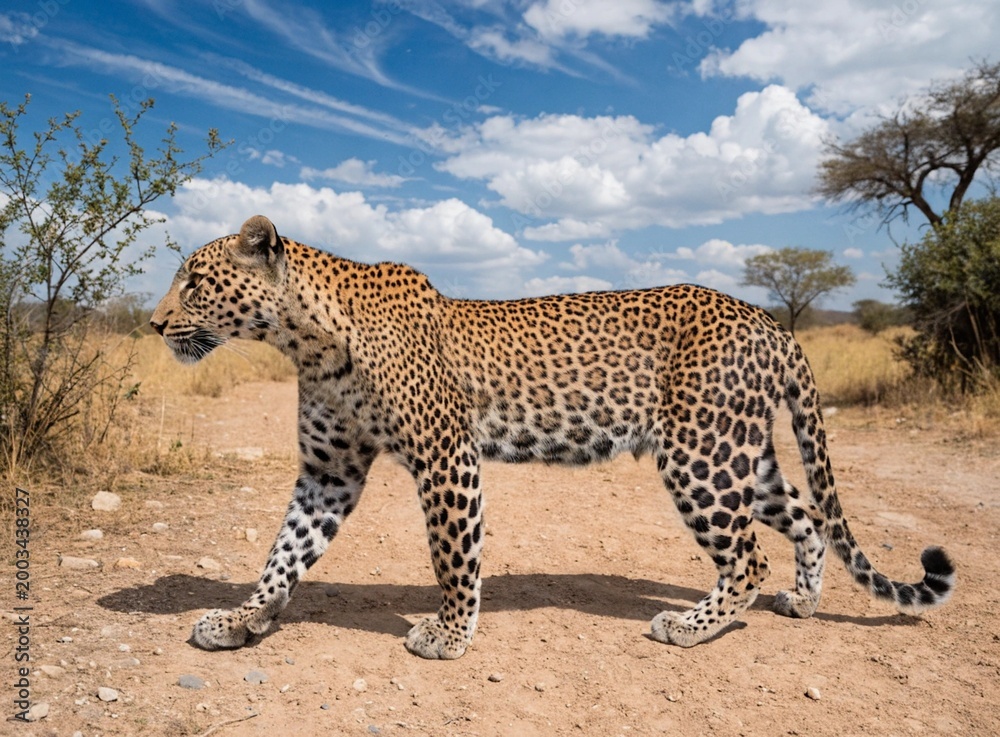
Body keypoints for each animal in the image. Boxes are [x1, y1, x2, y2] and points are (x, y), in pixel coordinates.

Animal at [150, 214, 956, 659]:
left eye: (195, 283)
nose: (154, 323)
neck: (304, 339)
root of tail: (770, 321)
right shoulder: (328, 470)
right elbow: (283, 553)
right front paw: (241, 618)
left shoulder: (446, 456)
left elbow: (452, 554)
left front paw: (448, 635)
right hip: (739, 454)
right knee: (808, 515)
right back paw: (804, 601)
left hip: (699, 456)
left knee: (749, 555)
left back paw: (691, 626)